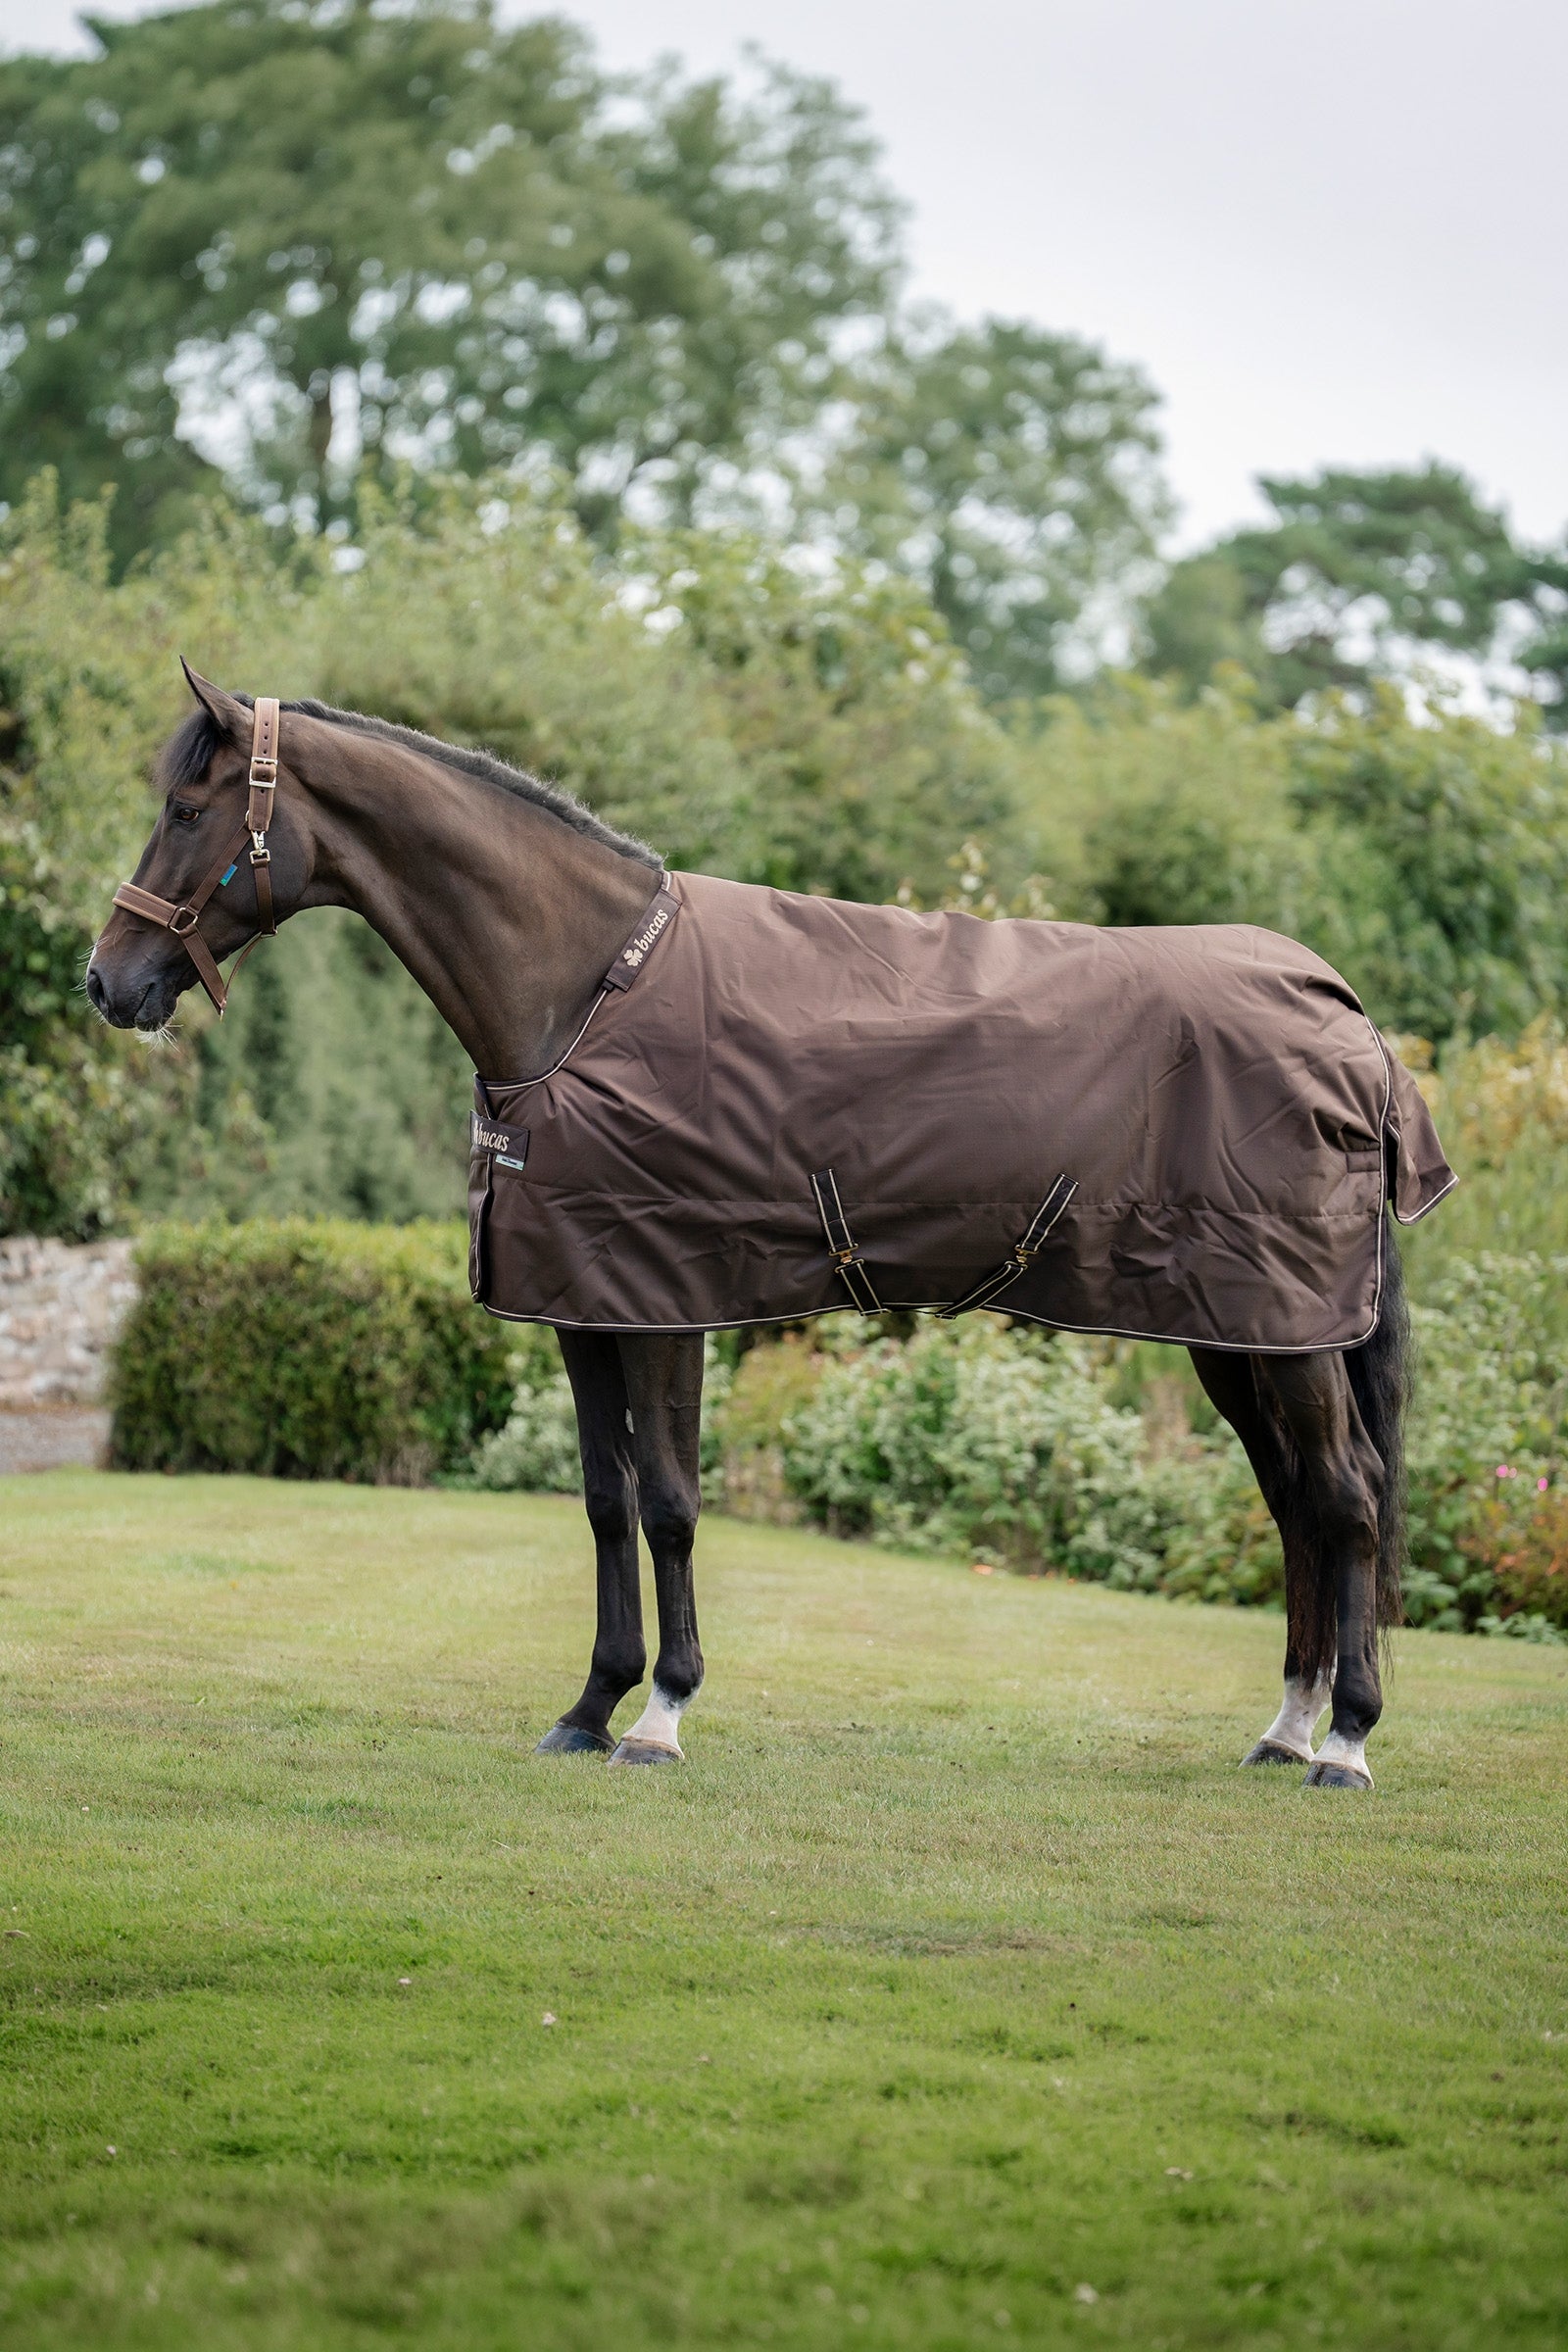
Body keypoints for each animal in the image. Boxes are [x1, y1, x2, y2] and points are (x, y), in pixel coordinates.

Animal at [87, 666, 1453, 1789]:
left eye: (190, 809)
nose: (108, 983)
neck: (585, 990)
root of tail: (1348, 1019)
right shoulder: (580, 1305)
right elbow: (604, 1501)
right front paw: (587, 1707)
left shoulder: (666, 1301)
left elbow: (670, 1503)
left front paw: (661, 1717)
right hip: (1243, 1333)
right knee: (1297, 1503)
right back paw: (1285, 1729)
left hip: (1284, 1330)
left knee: (1346, 1498)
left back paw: (1344, 1743)